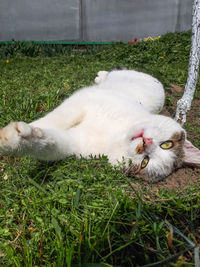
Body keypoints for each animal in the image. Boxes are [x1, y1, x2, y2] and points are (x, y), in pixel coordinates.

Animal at [0, 69, 200, 182]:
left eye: (144, 162)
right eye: (167, 144)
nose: (145, 143)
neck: (115, 132)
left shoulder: (71, 143)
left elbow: (48, 143)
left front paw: (17, 139)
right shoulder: (80, 102)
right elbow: (53, 120)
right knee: (114, 72)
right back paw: (101, 75)